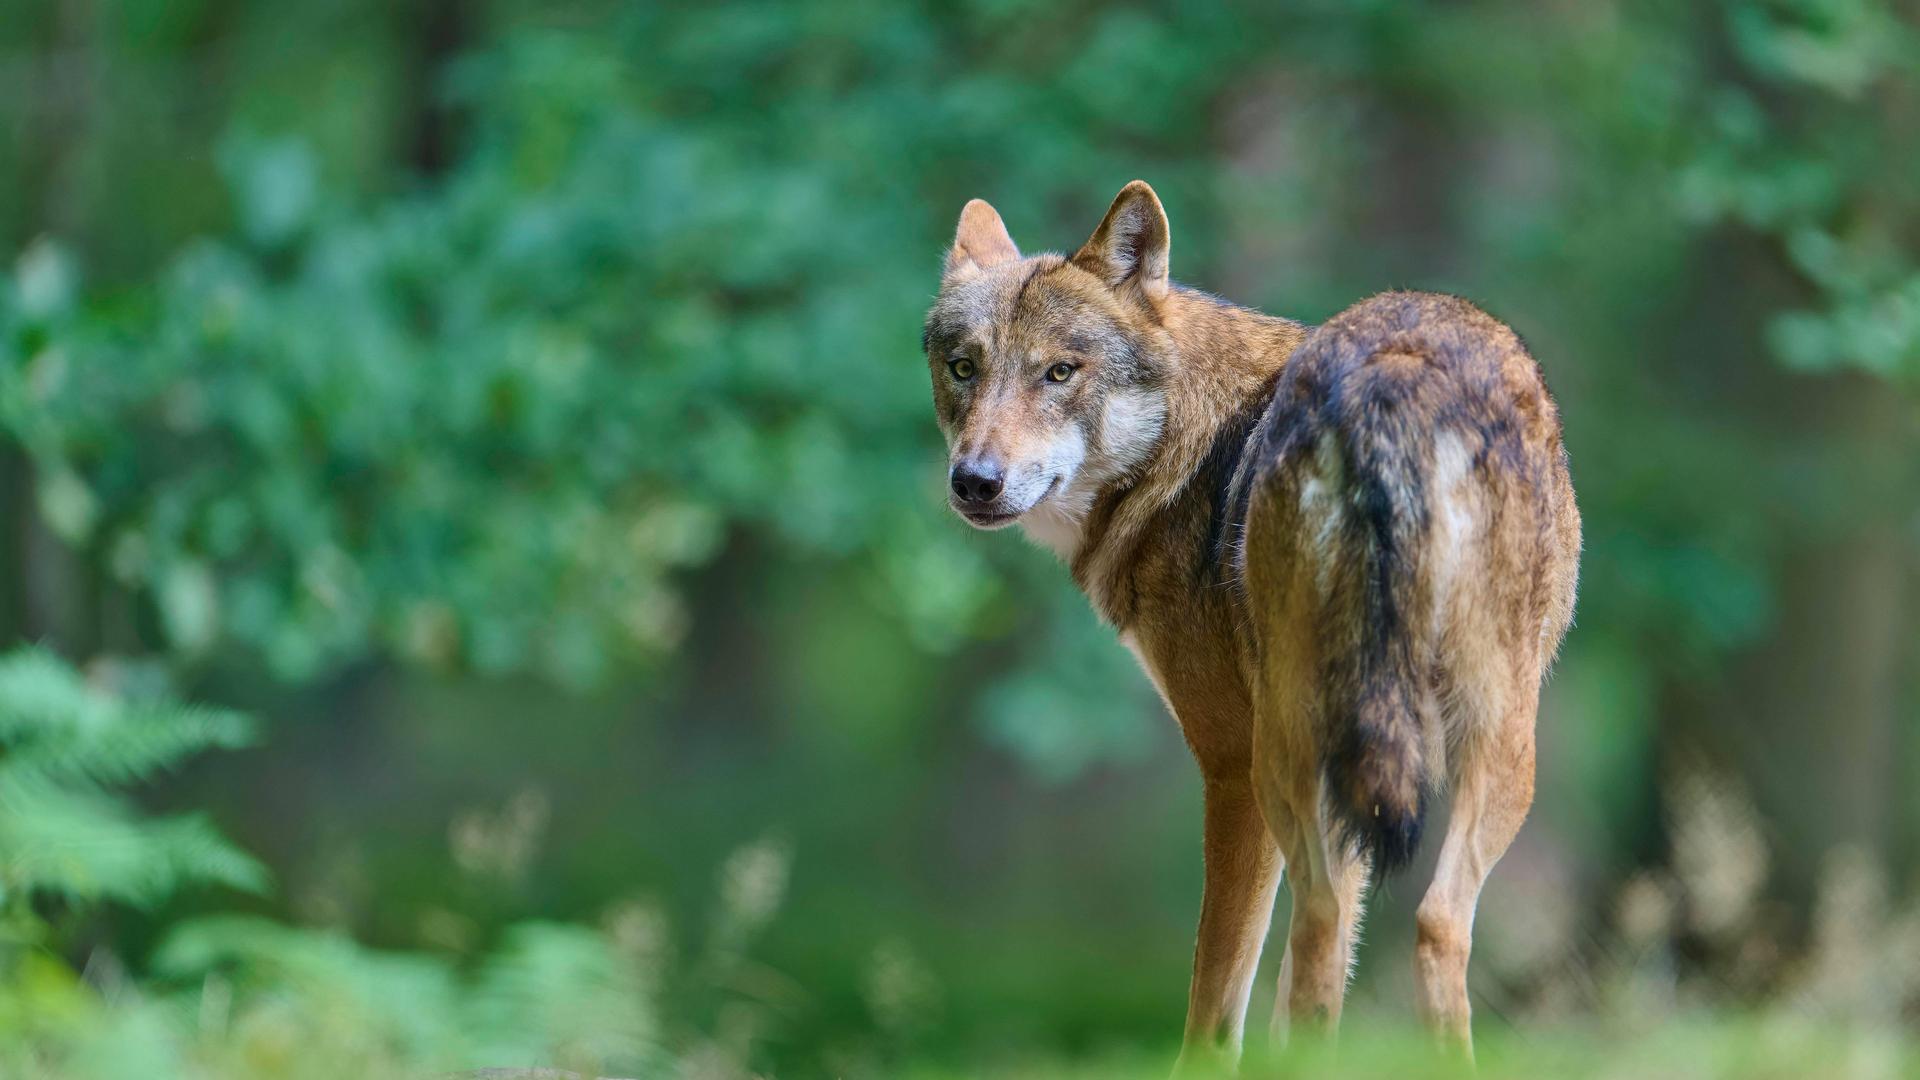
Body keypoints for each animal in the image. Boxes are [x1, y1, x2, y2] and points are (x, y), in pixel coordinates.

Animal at [922, 181, 1580, 1069]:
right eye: (965, 368)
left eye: (1059, 372)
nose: (975, 481)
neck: (1180, 445)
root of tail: (1396, 374)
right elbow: (1306, 990)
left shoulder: (1230, 766)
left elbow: (1215, 997)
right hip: (1485, 739)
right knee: (1424, 923)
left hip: (1291, 758)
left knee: (1328, 920)